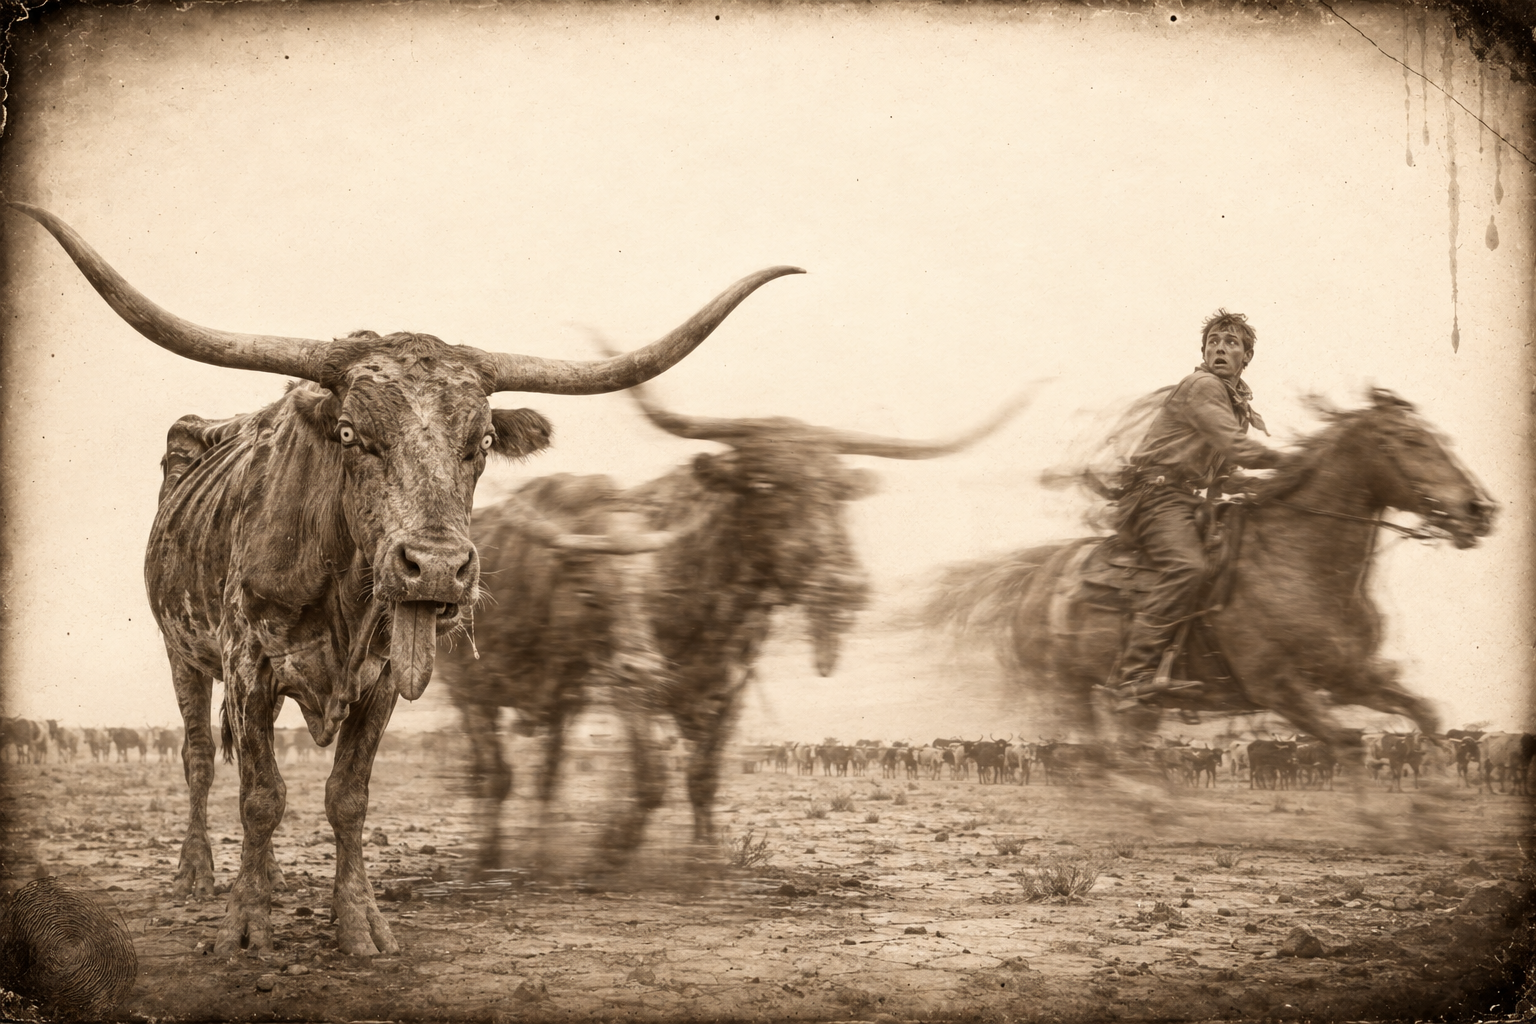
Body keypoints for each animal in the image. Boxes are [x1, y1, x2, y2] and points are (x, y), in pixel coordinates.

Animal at [11, 201, 798, 956]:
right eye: (352, 435)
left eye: (483, 441)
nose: (438, 568)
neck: (338, 592)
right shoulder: (248, 666)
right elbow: (260, 796)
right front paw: (245, 925)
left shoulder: (382, 681)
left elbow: (347, 797)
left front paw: (359, 924)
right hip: (182, 655)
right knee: (201, 759)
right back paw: (197, 874)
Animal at [926, 389, 1495, 763]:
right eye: (1410, 440)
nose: (1480, 510)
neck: (1301, 564)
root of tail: (1036, 575)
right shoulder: (1278, 687)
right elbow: (1347, 745)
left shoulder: (1350, 676)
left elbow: (1425, 716)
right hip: (1065, 691)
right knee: (1087, 761)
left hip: (1133, 706)